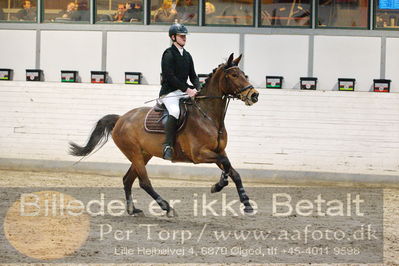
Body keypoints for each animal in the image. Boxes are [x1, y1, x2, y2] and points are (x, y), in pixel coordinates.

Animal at [70, 53, 260, 216]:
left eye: (244, 74)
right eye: (234, 75)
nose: (254, 95)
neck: (209, 117)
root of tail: (121, 118)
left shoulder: (219, 151)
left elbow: (233, 171)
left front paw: (246, 203)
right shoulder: (199, 154)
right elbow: (226, 164)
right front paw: (218, 185)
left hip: (144, 154)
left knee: (127, 179)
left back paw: (133, 210)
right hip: (134, 153)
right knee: (144, 182)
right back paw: (167, 208)